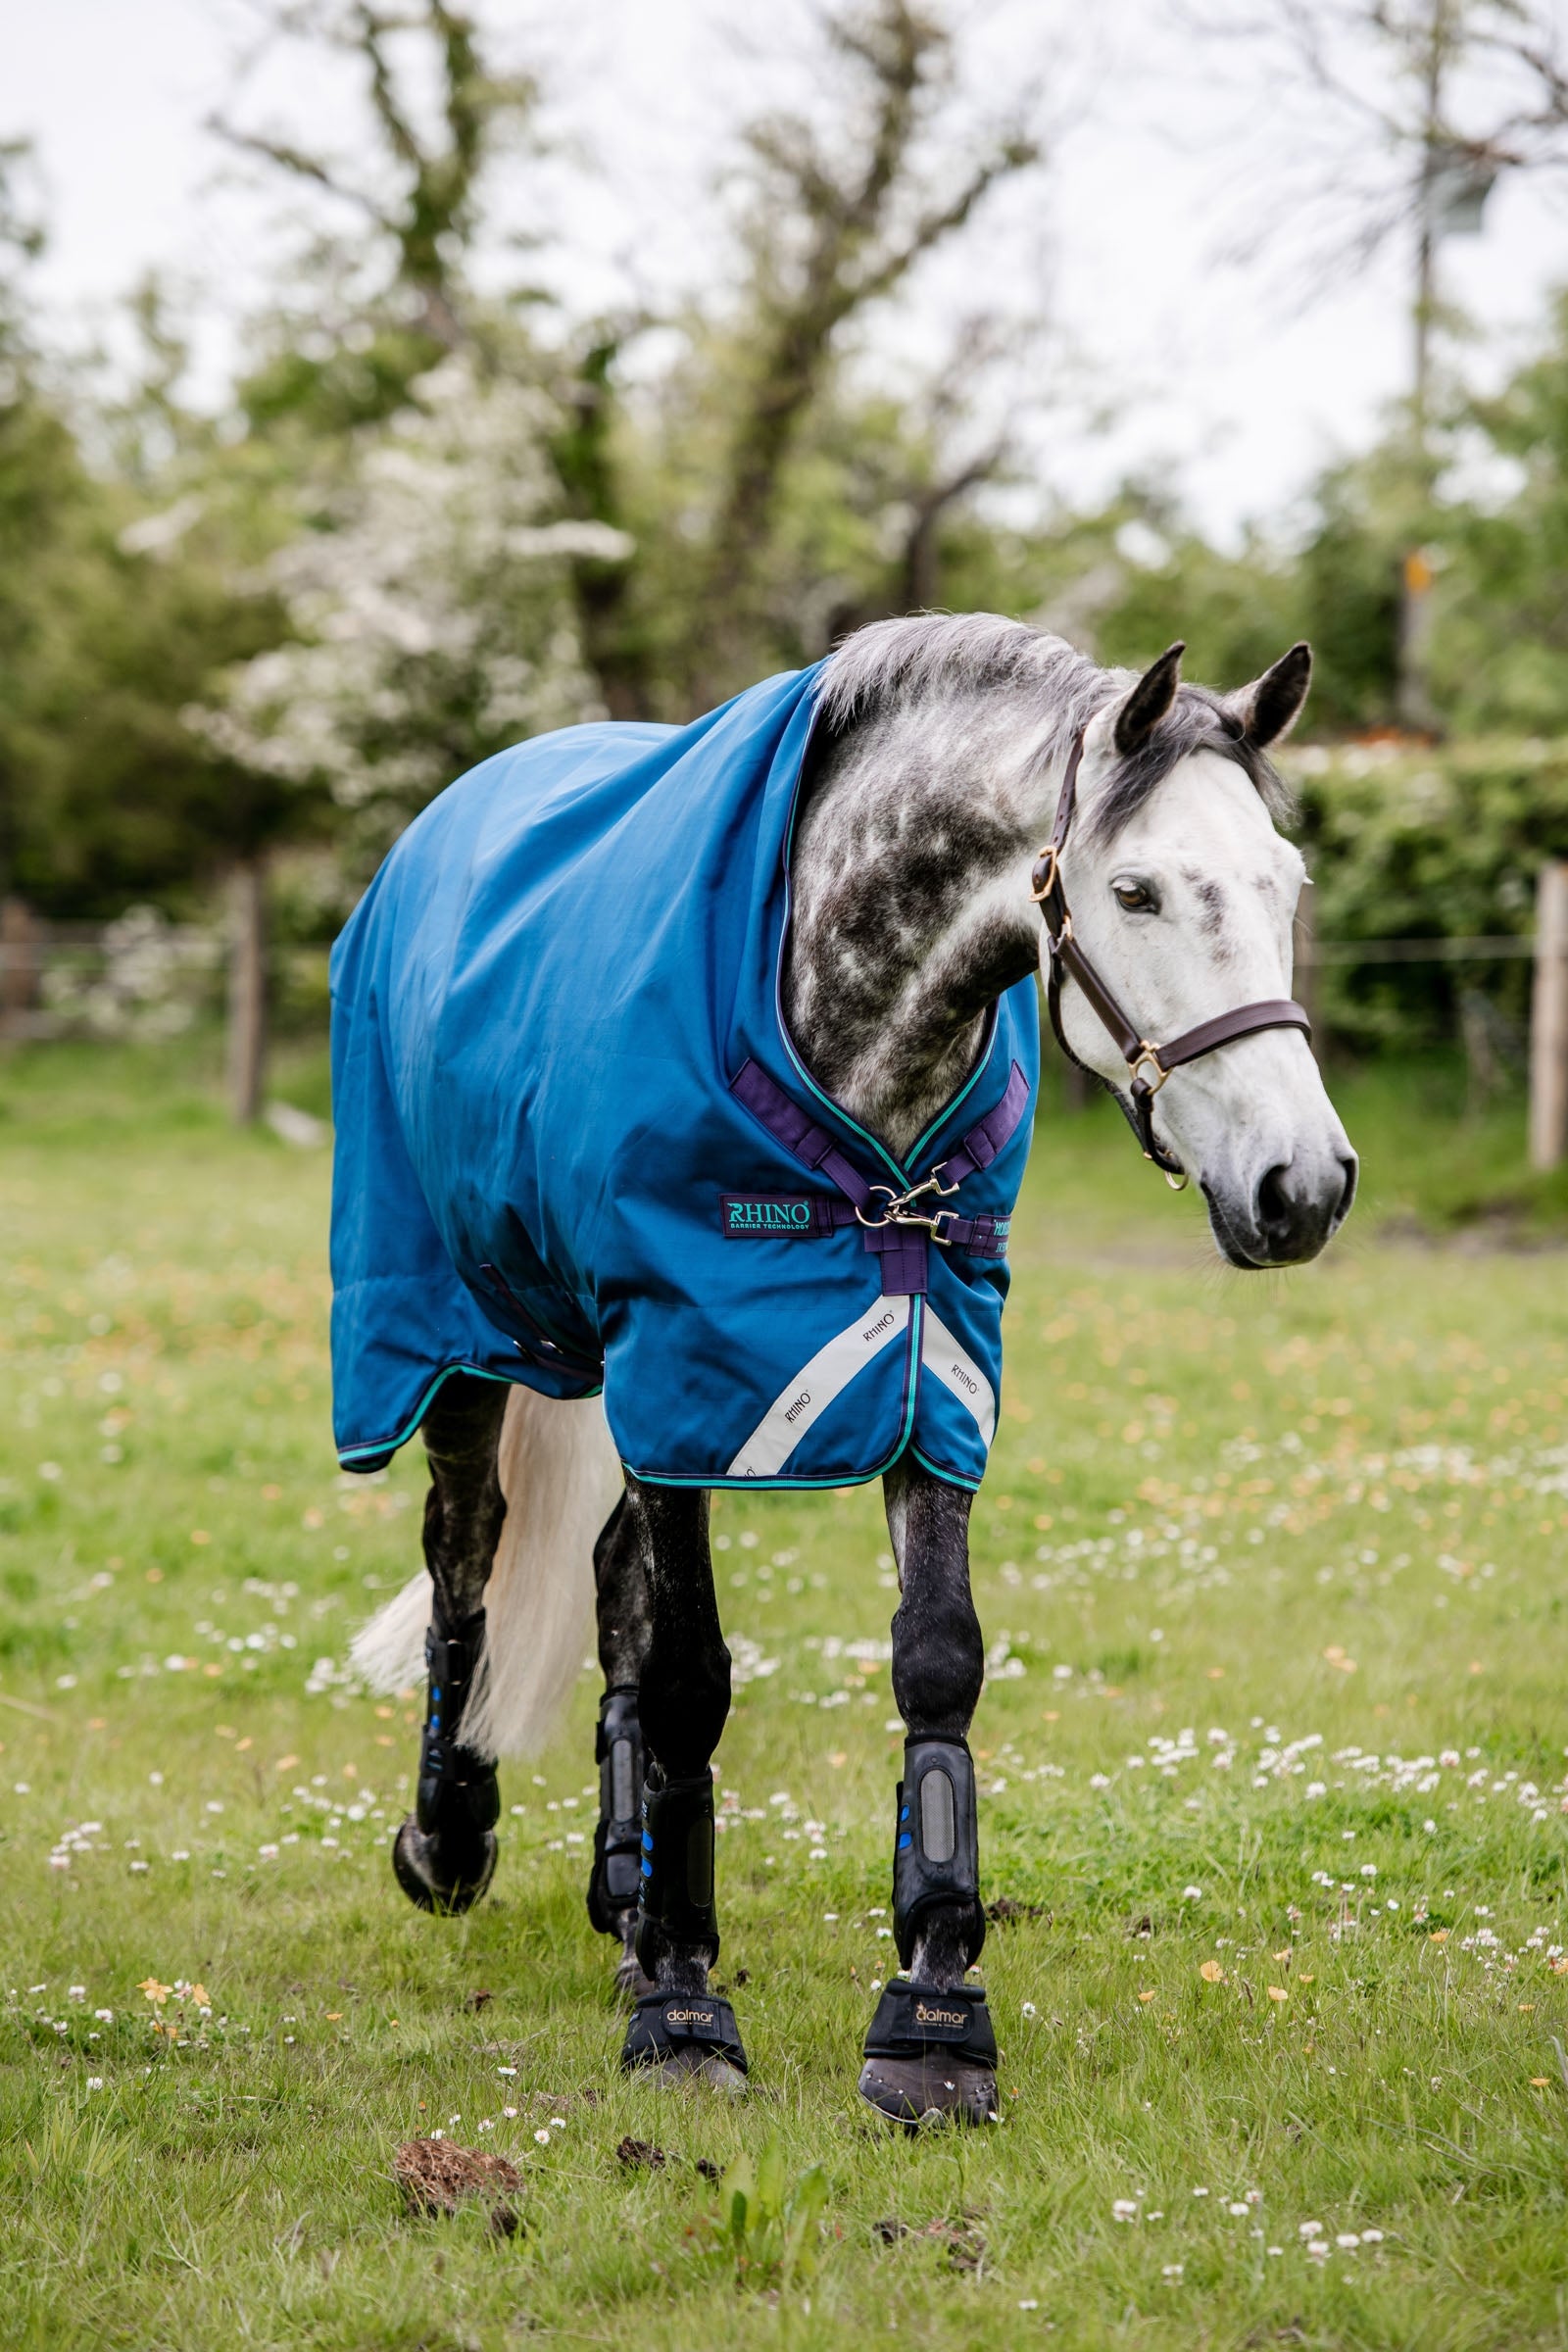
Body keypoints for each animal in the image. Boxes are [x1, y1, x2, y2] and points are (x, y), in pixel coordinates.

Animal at [342, 613, 1356, 2127]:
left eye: (1281, 882)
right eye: (1136, 891)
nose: (1303, 1187)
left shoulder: (932, 1372)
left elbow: (933, 1660)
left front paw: (932, 2014)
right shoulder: (678, 1368)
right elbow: (690, 1675)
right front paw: (686, 2012)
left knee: (606, 1593)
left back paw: (621, 1895)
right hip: (454, 1330)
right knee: (466, 1550)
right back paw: (453, 1837)